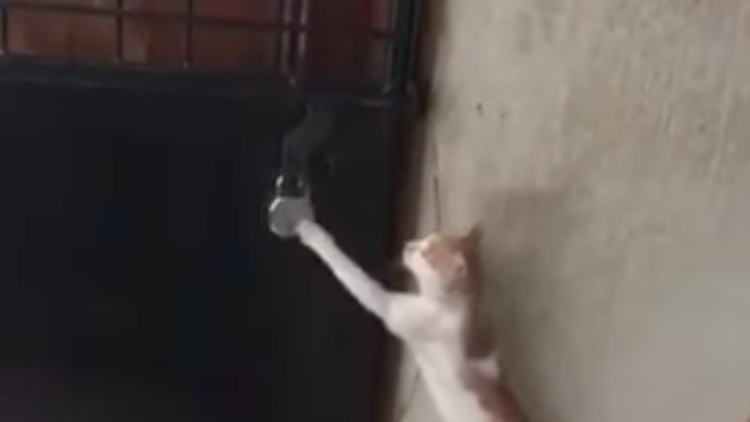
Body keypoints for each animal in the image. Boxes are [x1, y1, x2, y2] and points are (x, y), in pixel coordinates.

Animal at [294, 218, 527, 422]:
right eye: (424, 239)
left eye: (425, 254)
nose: (408, 245)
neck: (459, 308)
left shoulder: (390, 306)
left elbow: (349, 270)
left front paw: (313, 234)